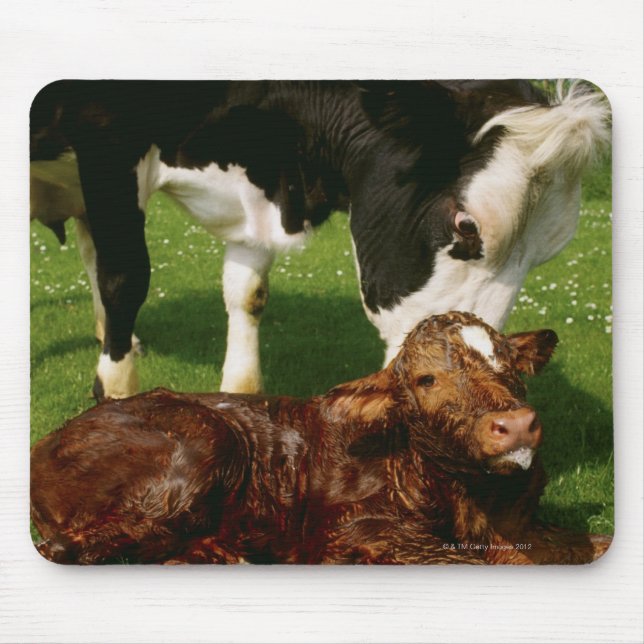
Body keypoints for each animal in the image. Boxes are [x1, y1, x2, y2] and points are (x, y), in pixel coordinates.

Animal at [29, 80, 609, 399]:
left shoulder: (255, 193)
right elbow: (126, 277)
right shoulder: (107, 138)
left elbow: (247, 293)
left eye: (543, 256)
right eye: (467, 226)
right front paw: (114, 399)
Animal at [30, 312, 612, 565]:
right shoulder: (356, 534)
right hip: (203, 444)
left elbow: (590, 544)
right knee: (65, 546)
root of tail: (48, 441)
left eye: (509, 363)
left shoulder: (529, 527)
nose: (516, 424)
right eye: (426, 379)